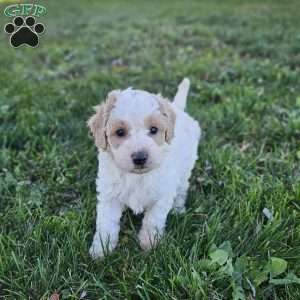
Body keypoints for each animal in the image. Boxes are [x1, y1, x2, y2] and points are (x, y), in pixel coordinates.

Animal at [88, 78, 203, 258]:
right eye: (120, 132)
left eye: (154, 129)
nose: (140, 158)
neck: (136, 176)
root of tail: (177, 109)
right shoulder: (109, 196)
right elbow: (106, 224)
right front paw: (101, 249)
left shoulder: (162, 195)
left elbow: (152, 220)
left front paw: (149, 244)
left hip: (186, 166)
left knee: (182, 187)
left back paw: (178, 208)